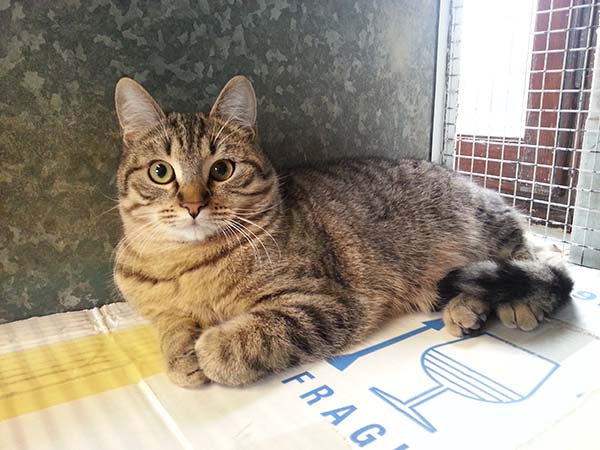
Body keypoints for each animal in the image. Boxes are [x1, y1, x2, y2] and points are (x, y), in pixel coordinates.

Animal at [113, 75, 573, 387]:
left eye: (222, 169)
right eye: (160, 172)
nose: (193, 205)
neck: (186, 265)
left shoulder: (324, 303)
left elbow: (251, 336)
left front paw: (210, 349)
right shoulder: (158, 308)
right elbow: (171, 326)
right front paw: (180, 354)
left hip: (488, 227)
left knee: (535, 259)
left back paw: (521, 302)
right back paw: (468, 307)